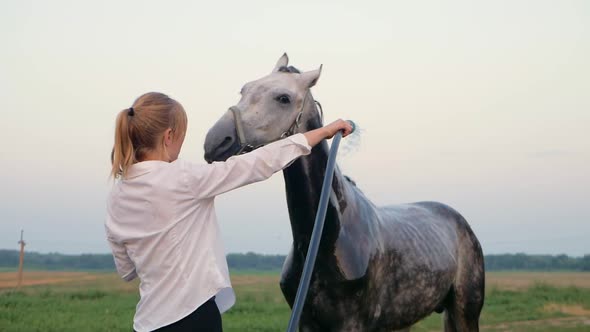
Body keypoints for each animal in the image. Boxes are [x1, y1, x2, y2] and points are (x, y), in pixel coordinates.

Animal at [204, 53, 486, 330]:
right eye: (244, 89)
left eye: (283, 98)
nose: (215, 142)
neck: (327, 239)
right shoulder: (306, 322)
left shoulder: (352, 324)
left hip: (465, 311)